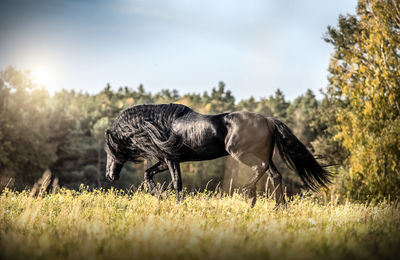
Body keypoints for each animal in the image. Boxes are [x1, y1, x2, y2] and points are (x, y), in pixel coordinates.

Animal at [105, 102, 332, 206]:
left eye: (109, 150)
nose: (109, 175)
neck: (159, 126)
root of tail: (268, 120)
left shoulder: (171, 159)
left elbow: (177, 183)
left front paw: (177, 204)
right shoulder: (165, 160)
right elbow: (148, 174)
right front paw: (158, 195)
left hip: (241, 153)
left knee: (261, 170)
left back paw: (248, 195)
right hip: (261, 156)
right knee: (275, 175)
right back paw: (278, 208)